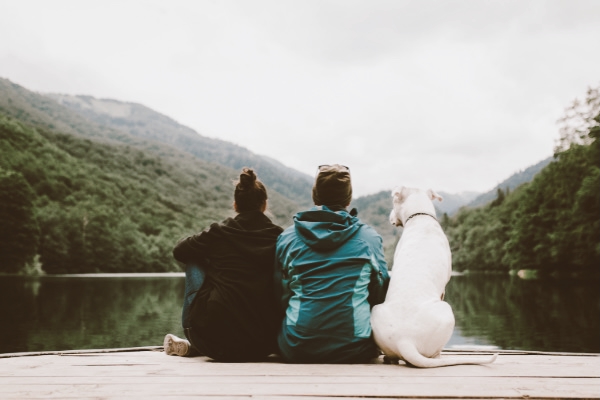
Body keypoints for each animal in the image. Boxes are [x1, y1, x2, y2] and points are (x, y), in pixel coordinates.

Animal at [370, 186, 496, 368]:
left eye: (394, 201)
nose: (389, 217)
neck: (420, 218)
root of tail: (405, 340)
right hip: (447, 311)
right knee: (433, 354)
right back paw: (438, 356)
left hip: (376, 310)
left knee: (392, 356)